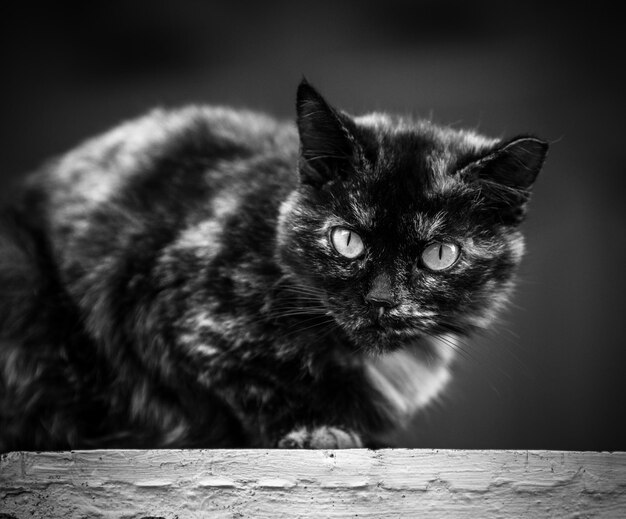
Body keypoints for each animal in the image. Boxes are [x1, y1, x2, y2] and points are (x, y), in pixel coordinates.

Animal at [0, 80, 544, 450]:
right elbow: (255, 382)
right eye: (347, 240)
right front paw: (316, 430)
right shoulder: (173, 313)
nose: (382, 299)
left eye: (439, 254)